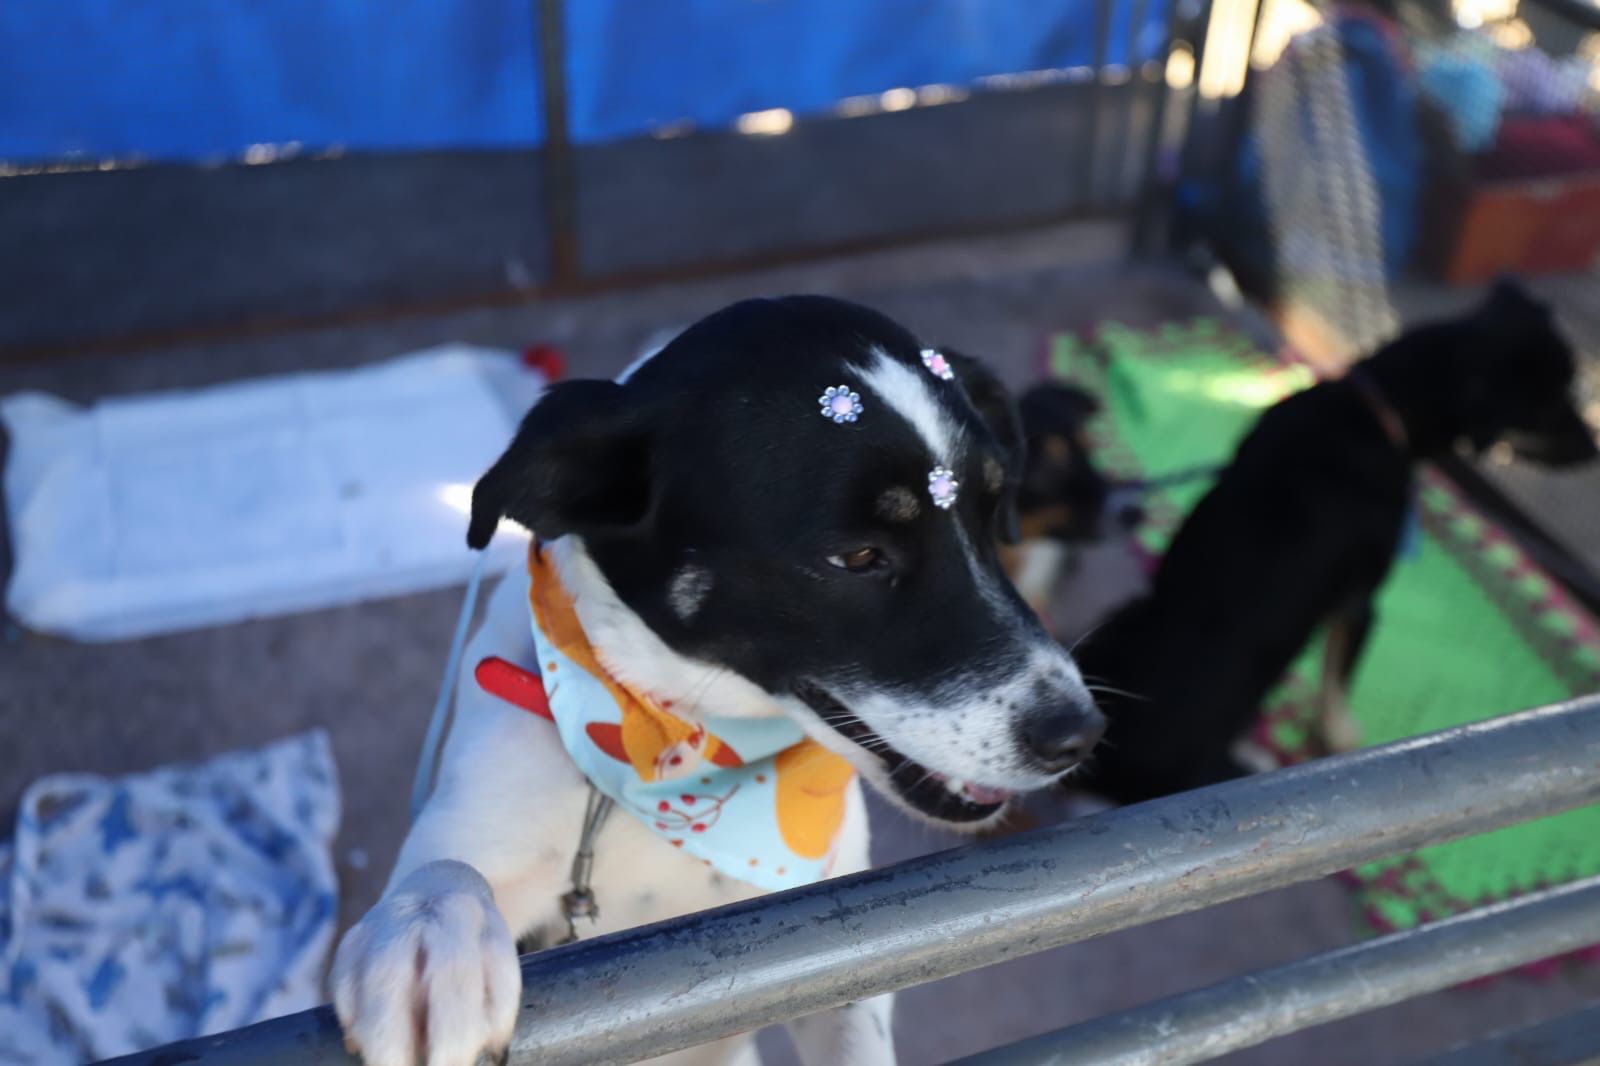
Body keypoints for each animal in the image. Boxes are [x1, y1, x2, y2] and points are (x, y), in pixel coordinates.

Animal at [330, 296, 1107, 1066]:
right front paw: (428, 942)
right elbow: (448, 871)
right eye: (857, 556)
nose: (1080, 735)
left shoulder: (841, 956)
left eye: (993, 515)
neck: (677, 743)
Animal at [1074, 280, 1597, 806]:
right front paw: (1341, 738)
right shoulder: (1359, 602)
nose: (1592, 449)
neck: (1380, 405)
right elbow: (1336, 685)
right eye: (1552, 406)